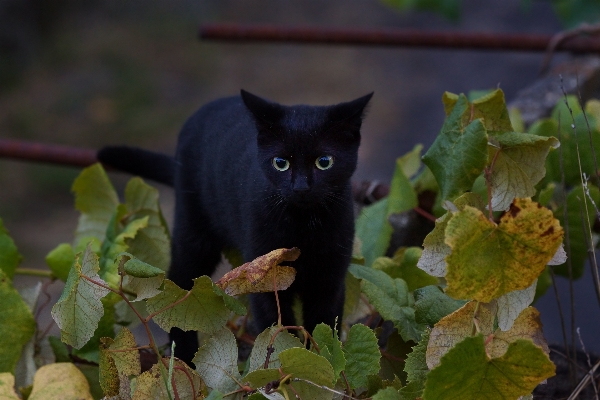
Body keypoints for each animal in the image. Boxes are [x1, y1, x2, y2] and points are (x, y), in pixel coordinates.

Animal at [98, 90, 370, 362]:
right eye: (280, 162)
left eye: (324, 161)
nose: (301, 187)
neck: (302, 227)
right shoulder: (264, 277)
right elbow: (276, 326)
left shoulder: (330, 279)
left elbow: (324, 327)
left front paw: (322, 362)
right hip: (194, 232)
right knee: (180, 282)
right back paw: (184, 360)